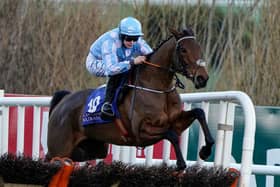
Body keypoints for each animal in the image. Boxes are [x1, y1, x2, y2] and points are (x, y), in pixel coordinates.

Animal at [47, 26, 214, 171]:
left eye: (199, 48)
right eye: (183, 49)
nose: (203, 78)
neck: (158, 88)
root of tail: (64, 101)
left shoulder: (176, 122)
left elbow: (199, 113)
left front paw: (205, 150)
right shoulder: (141, 132)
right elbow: (171, 134)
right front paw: (180, 163)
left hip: (93, 148)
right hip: (60, 147)